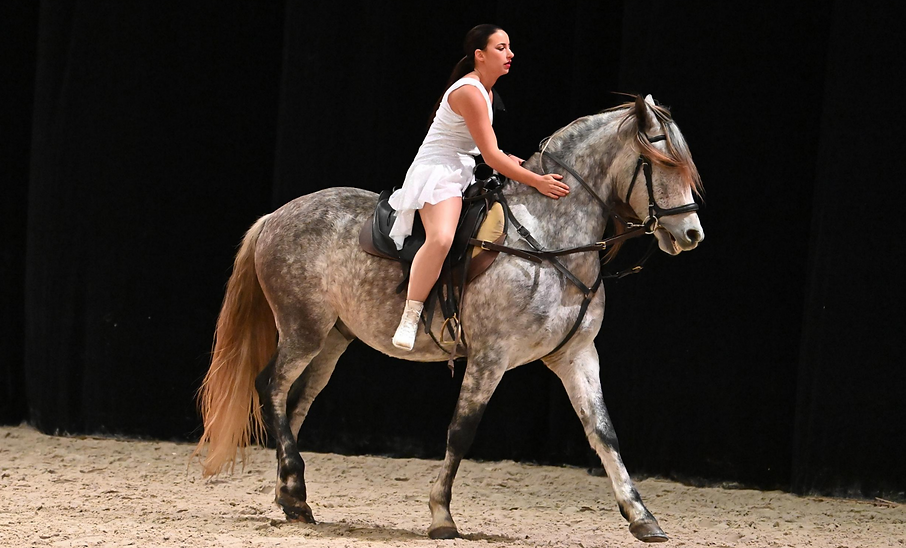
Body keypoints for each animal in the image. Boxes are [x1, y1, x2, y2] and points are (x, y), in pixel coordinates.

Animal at [193, 94, 704, 543]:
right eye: (662, 163)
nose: (691, 234)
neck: (547, 238)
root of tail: (277, 215)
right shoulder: (490, 357)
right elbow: (461, 432)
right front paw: (441, 515)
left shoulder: (576, 355)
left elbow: (604, 433)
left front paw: (643, 518)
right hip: (303, 329)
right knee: (271, 388)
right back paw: (294, 487)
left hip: (333, 339)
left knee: (295, 402)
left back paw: (291, 496)